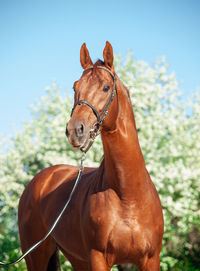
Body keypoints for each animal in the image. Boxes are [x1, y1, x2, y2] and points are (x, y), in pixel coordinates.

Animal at [18, 41, 164, 270]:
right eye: (75, 87)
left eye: (106, 87)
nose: (75, 130)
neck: (128, 196)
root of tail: (39, 181)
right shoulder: (98, 257)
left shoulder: (150, 259)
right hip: (35, 257)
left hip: (76, 259)